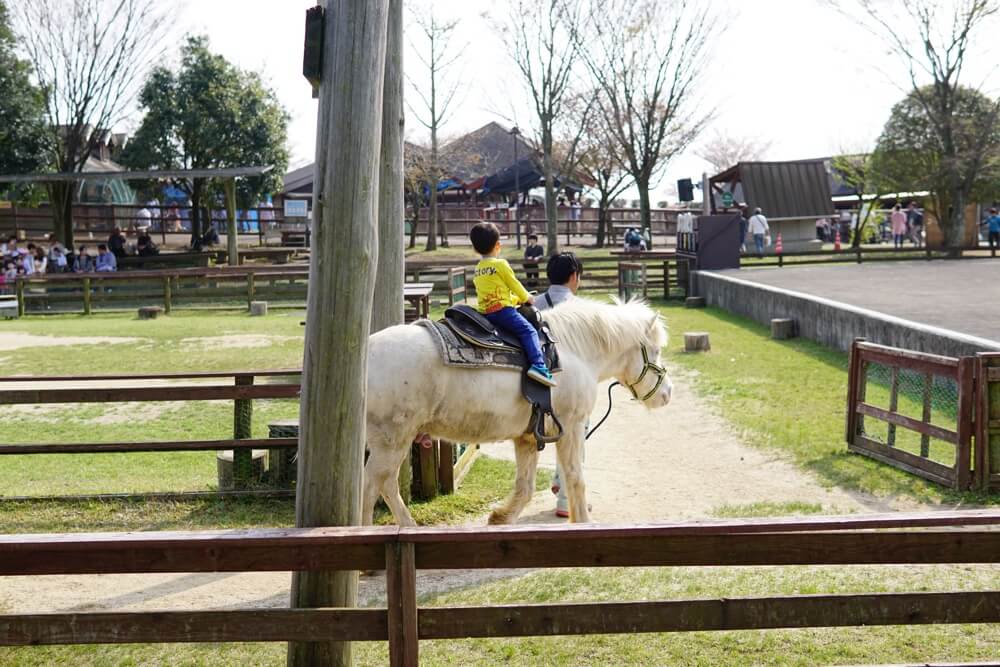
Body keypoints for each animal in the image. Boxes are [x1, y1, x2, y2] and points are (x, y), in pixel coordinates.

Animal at [362, 298, 672, 528]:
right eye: (655, 350)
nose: (667, 393)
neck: (574, 351)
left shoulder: (528, 437)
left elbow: (526, 486)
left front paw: (501, 517)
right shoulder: (571, 427)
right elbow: (575, 477)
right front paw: (583, 521)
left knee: (385, 484)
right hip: (391, 440)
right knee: (373, 485)